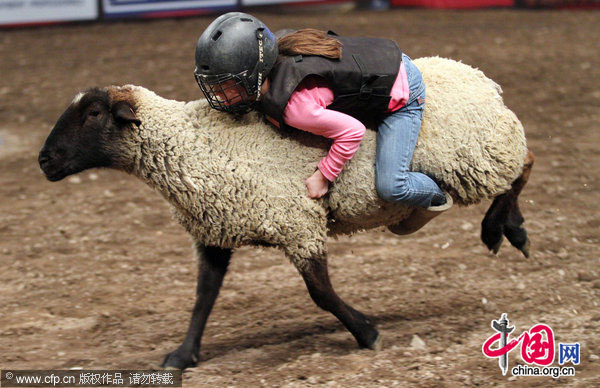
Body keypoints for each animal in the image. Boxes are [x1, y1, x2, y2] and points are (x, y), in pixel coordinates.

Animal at [37, 56, 536, 368]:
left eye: (94, 113)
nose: (44, 161)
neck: (193, 144)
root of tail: (482, 79)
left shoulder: (297, 223)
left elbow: (321, 293)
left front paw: (367, 332)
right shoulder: (216, 231)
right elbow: (203, 298)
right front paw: (182, 355)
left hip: (478, 152)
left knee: (524, 166)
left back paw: (503, 228)